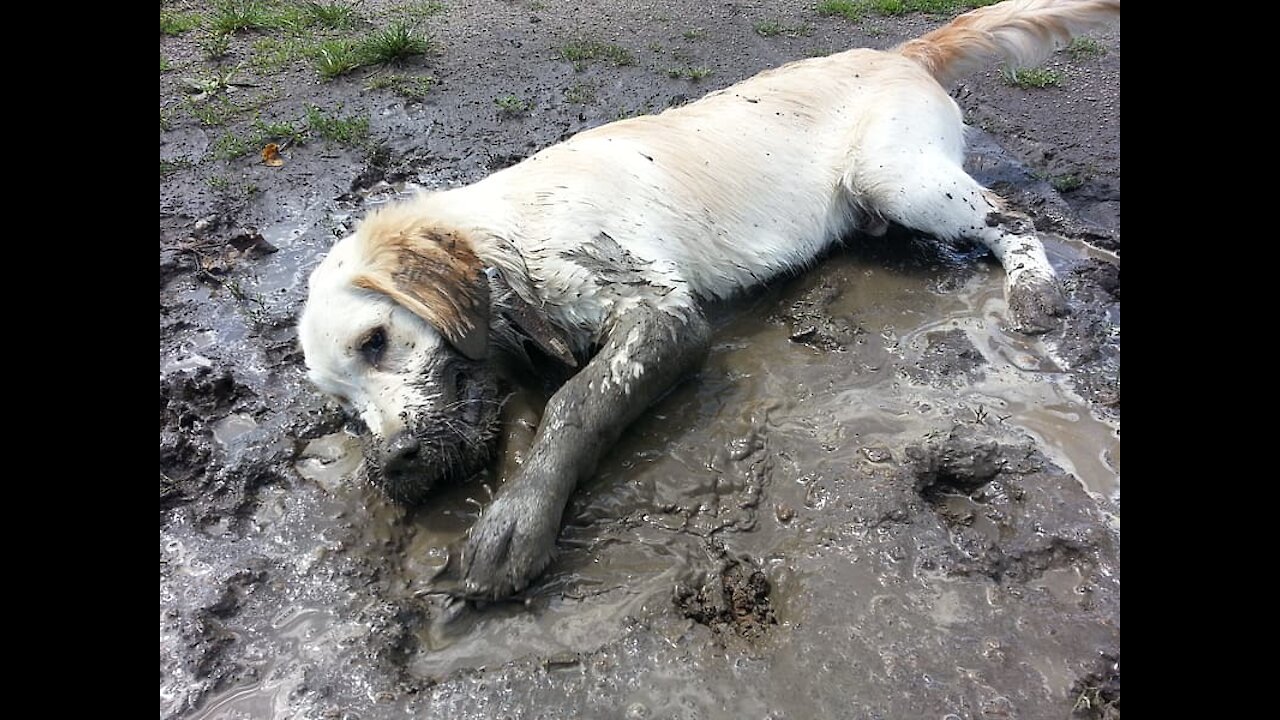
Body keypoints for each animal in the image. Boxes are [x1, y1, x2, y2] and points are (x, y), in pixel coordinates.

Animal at [296, 0, 1121, 597]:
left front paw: (515, 525)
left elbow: (575, 406)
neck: (514, 236)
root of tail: (896, 53)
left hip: (897, 174)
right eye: (342, 407)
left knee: (1013, 218)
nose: (393, 463)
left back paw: (1036, 290)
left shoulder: (662, 311)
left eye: (376, 340)